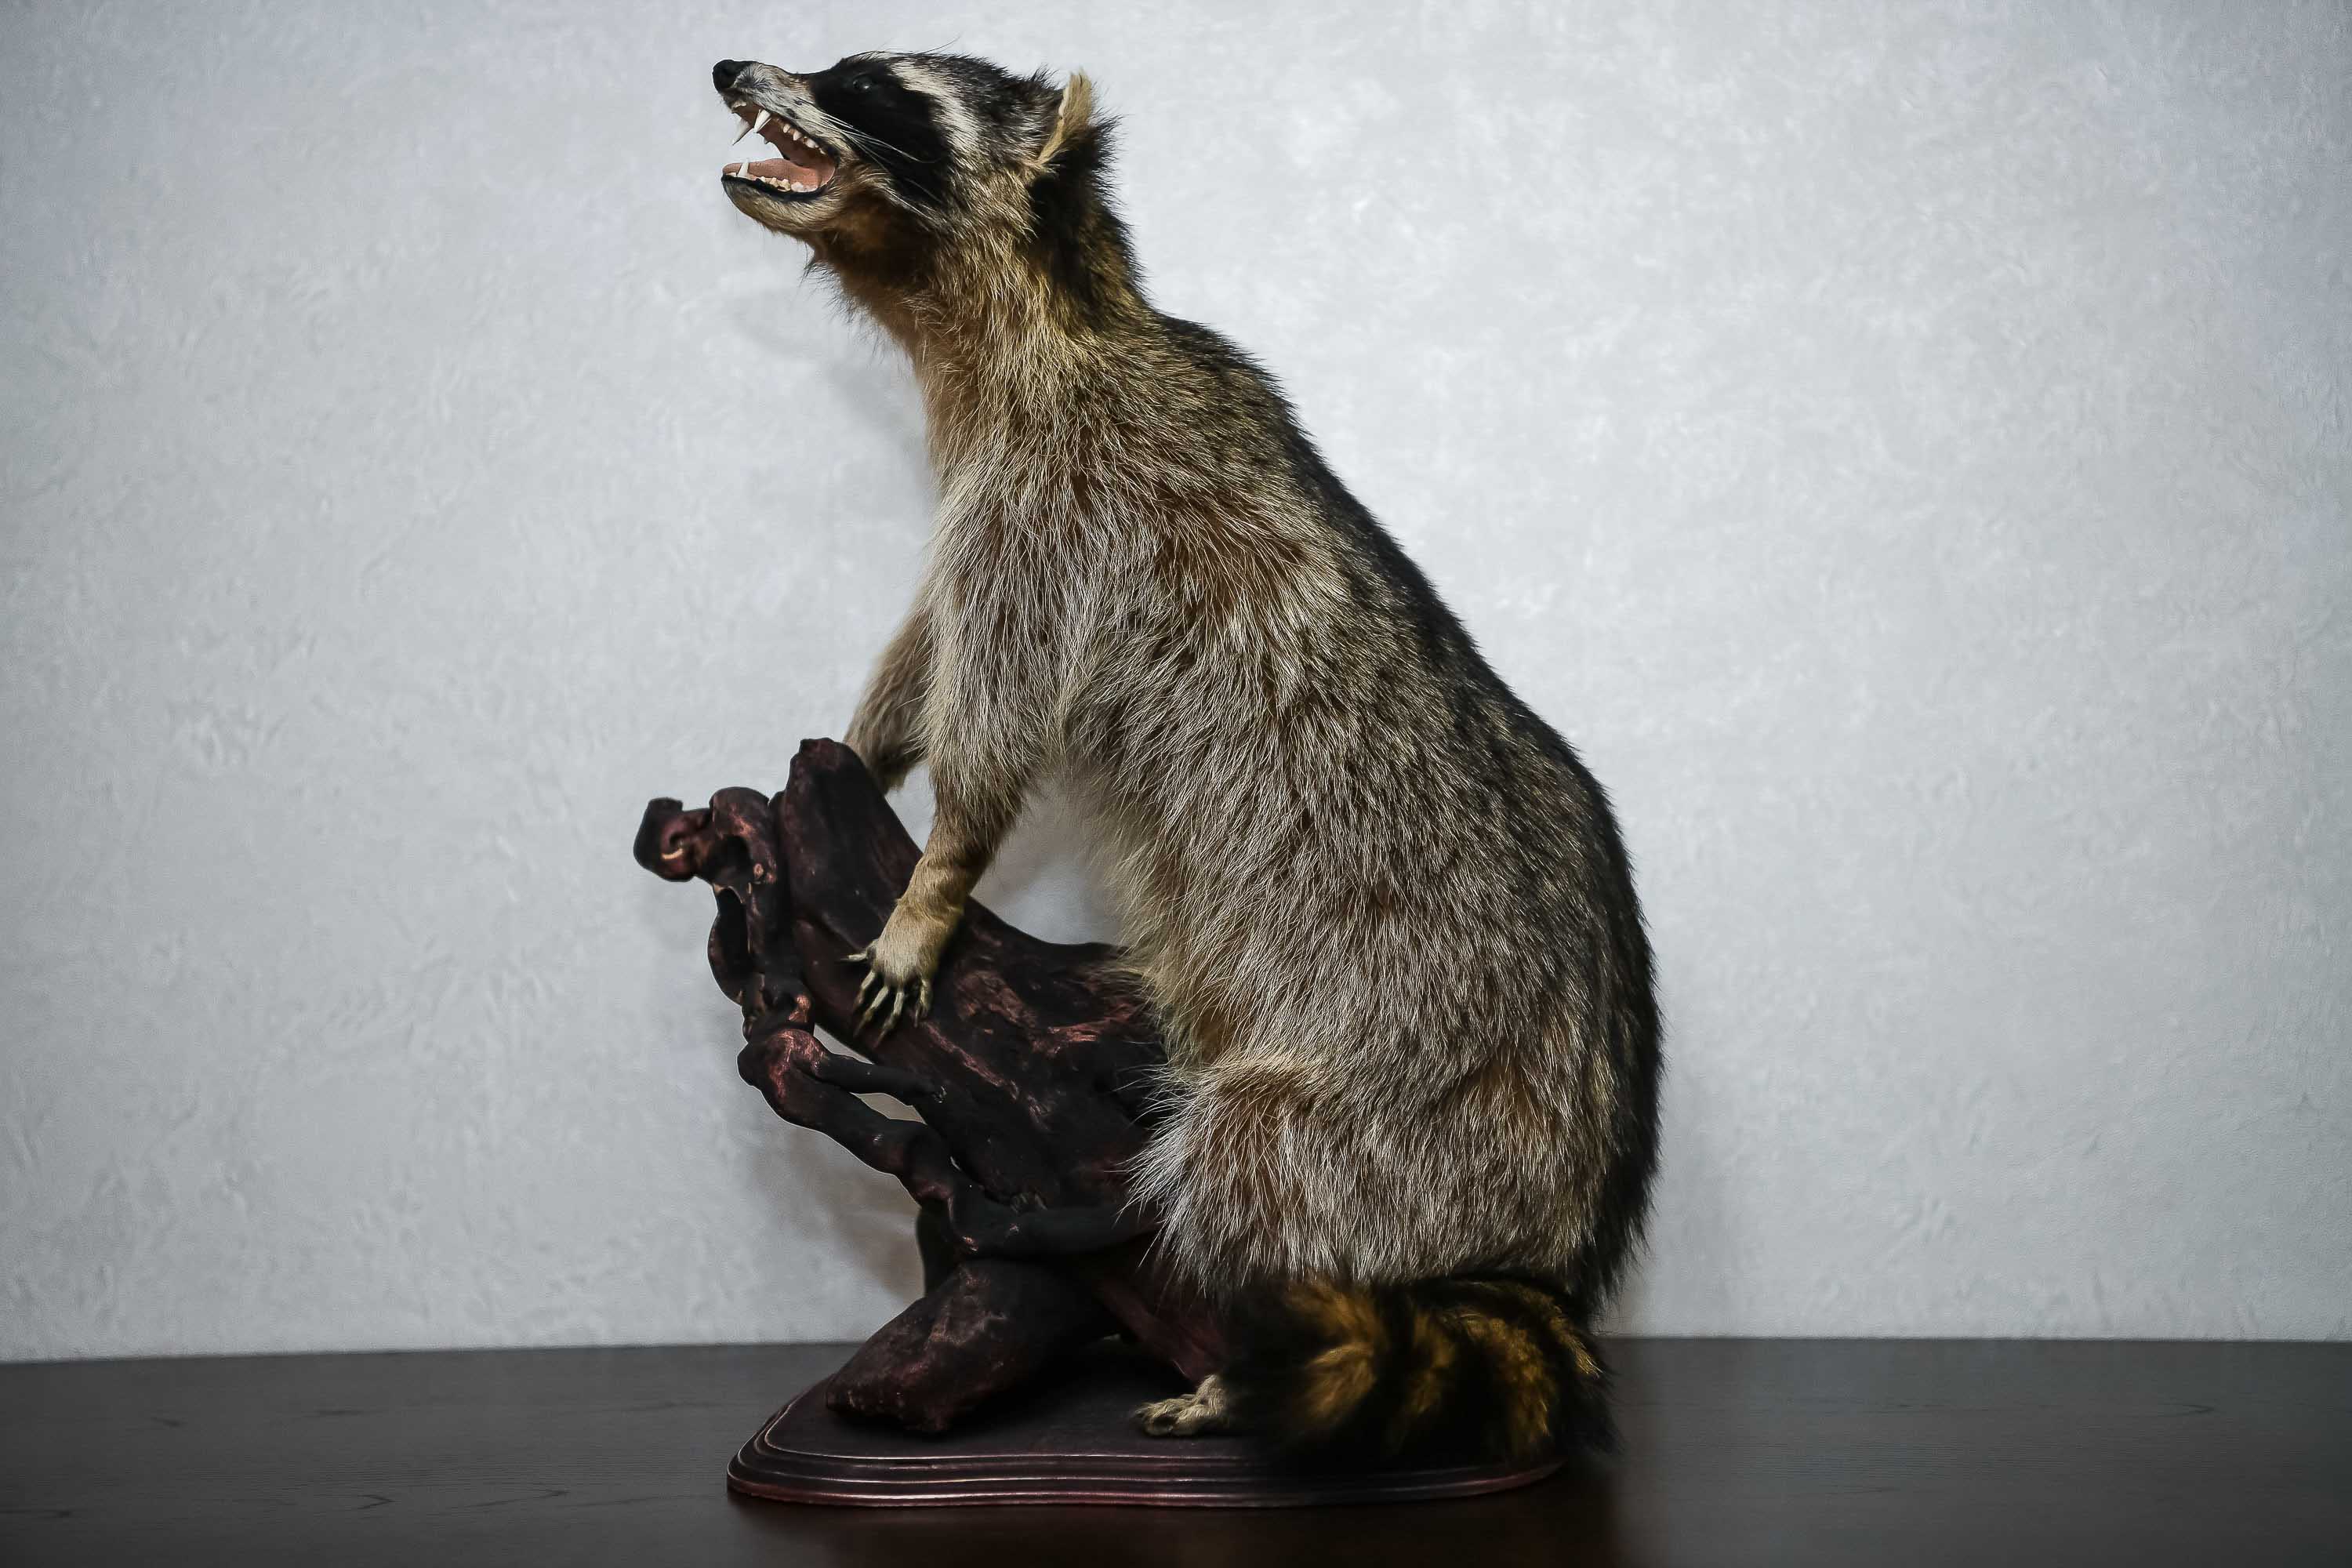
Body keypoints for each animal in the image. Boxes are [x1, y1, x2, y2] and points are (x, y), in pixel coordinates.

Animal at [710, 51, 1661, 1463]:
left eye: (869, 85)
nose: (733, 67)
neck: (1030, 318)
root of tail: (1570, 1229)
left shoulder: (1055, 503)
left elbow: (997, 702)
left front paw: (934, 880)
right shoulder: (1001, 486)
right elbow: (930, 644)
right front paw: (869, 745)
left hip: (1406, 1113)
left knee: (1251, 1158)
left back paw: (1233, 1341)